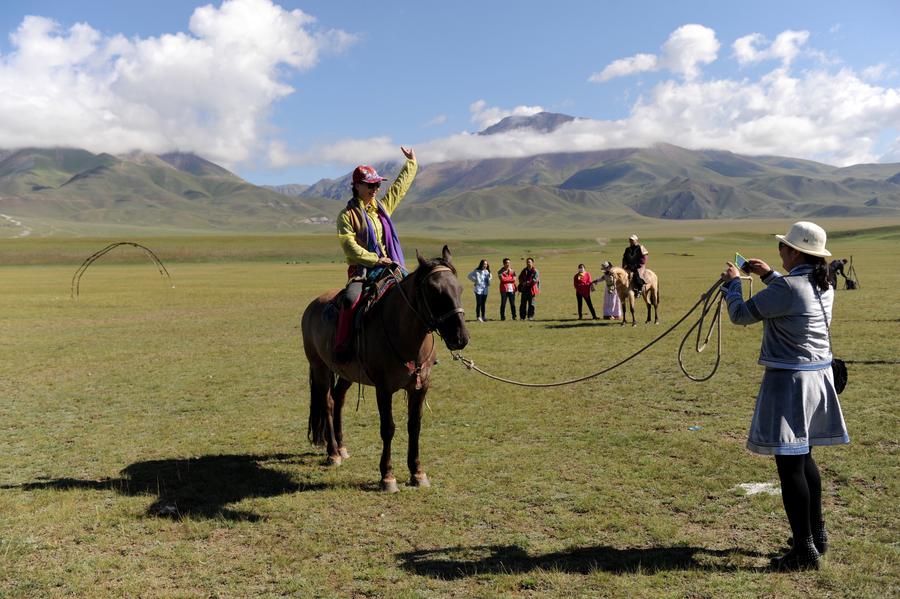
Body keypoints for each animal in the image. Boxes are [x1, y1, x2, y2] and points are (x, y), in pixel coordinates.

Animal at [302, 247, 472, 492]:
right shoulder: (383, 388)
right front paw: (387, 477)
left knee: (338, 399)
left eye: (459, 288)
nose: (461, 338)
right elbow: (388, 428)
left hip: (346, 373)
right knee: (327, 403)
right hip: (320, 367)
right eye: (434, 291)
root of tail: (313, 305)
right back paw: (333, 453)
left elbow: (414, 426)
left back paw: (342, 448)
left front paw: (417, 473)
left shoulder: (420, 386)